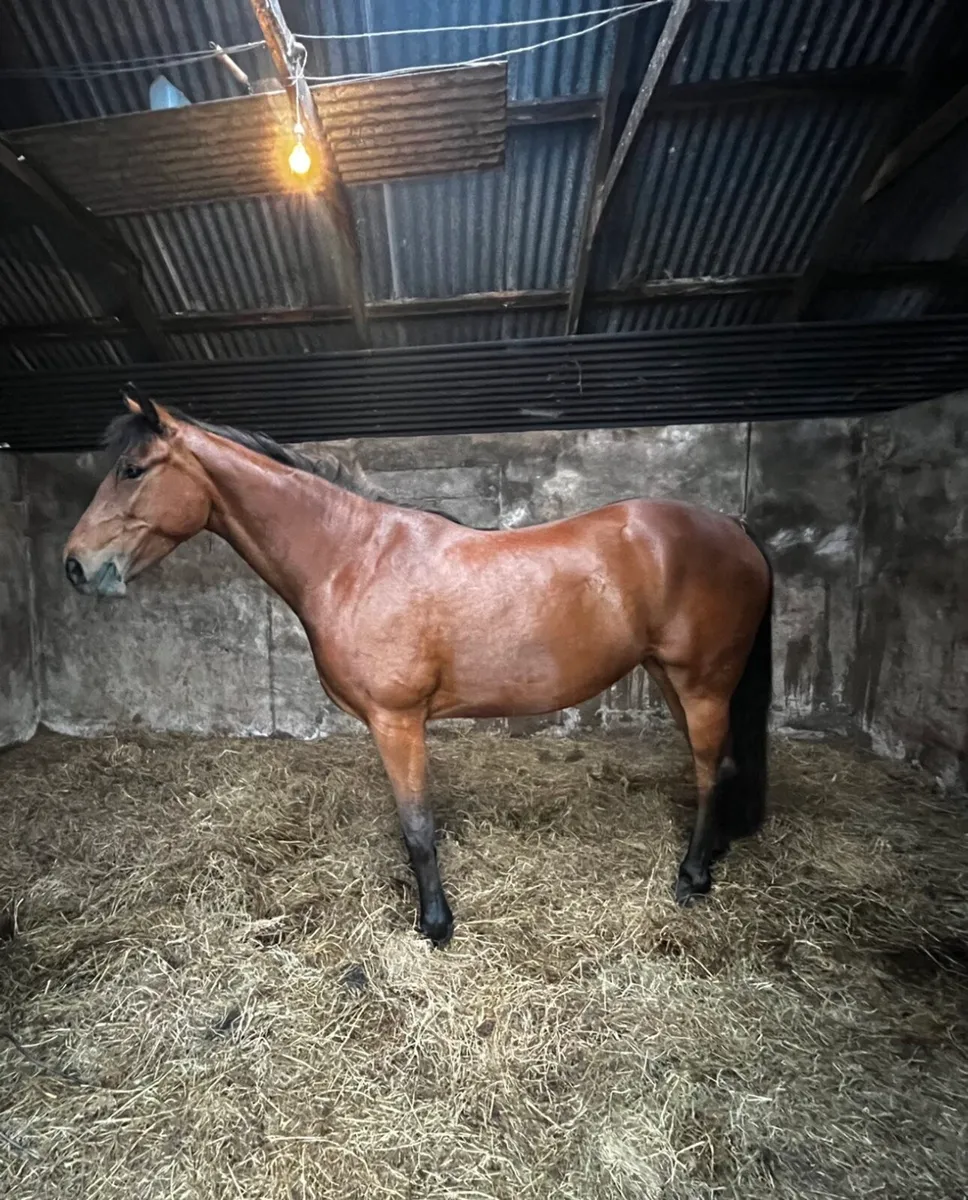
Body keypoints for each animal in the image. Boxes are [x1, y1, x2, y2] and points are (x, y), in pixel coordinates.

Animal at [63, 387, 773, 946]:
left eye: (131, 469)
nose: (75, 565)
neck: (354, 558)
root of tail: (734, 529)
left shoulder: (397, 721)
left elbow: (418, 825)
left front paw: (435, 925)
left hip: (700, 684)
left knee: (708, 769)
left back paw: (693, 876)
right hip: (670, 678)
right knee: (723, 764)